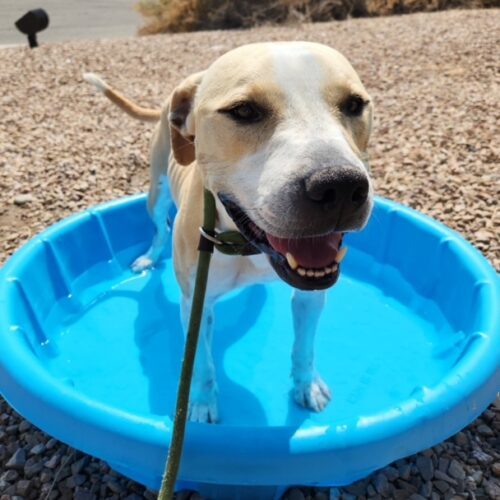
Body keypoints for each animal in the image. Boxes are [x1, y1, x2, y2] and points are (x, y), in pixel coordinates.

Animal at [86, 42, 374, 422]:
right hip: (156, 192)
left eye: (354, 105)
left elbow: (304, 346)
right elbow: (202, 364)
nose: (339, 186)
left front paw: (306, 384)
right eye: (244, 111)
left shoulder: (311, 295)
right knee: (159, 227)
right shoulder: (195, 303)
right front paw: (201, 403)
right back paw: (148, 257)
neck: (246, 245)